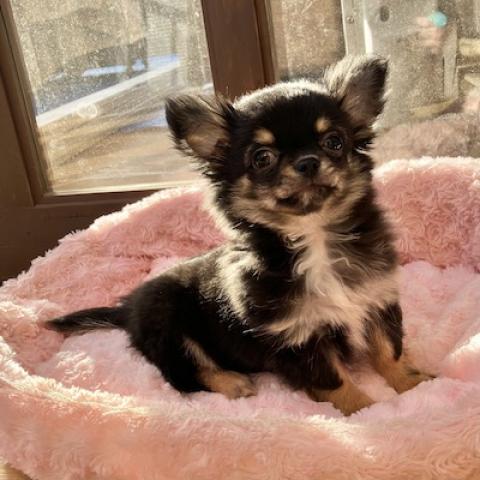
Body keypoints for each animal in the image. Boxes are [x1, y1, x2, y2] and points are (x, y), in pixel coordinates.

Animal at [47, 55, 433, 415]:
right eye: (261, 158)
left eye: (334, 141)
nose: (308, 161)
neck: (314, 240)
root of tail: (126, 309)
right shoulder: (298, 339)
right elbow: (336, 381)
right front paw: (366, 410)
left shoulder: (377, 300)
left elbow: (389, 351)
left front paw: (415, 385)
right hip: (170, 329)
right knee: (184, 377)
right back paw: (233, 382)